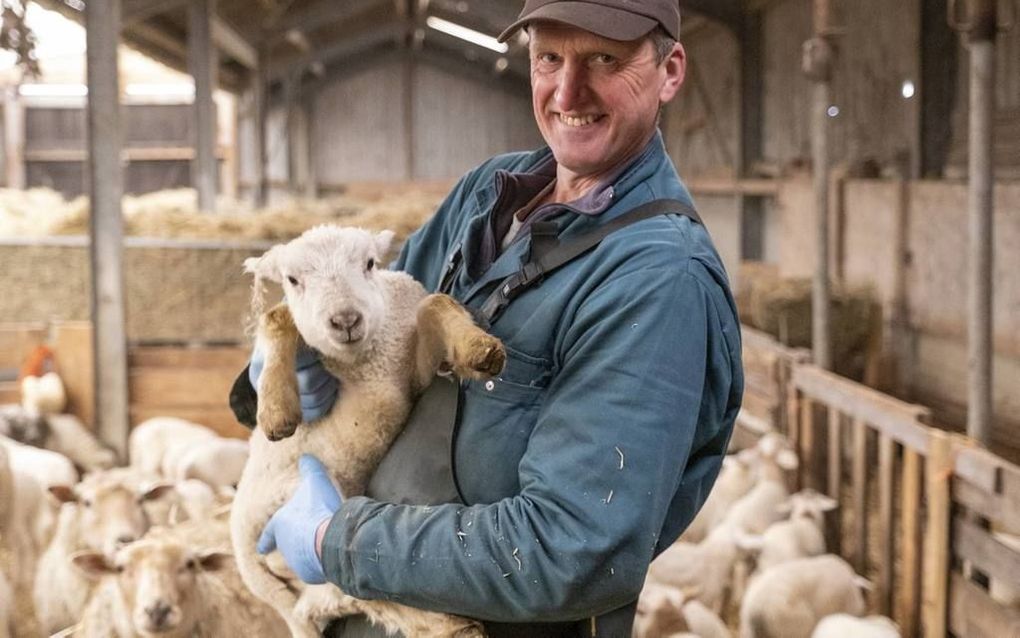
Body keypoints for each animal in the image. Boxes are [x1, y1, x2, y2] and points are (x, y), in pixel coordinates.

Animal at [229, 225, 503, 636]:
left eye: (370, 263)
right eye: (292, 279)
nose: (345, 320)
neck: (365, 361)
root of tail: (248, 568)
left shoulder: (412, 376)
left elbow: (435, 303)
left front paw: (479, 350)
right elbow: (278, 316)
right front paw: (276, 412)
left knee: (331, 598)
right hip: (294, 506)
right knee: (344, 574)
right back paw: (447, 623)